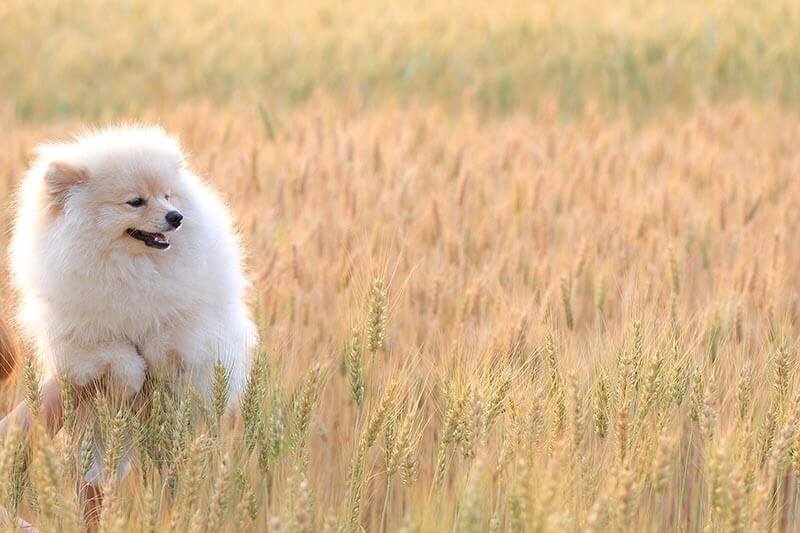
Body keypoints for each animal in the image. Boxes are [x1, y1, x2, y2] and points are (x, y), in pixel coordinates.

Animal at [10, 125, 258, 404]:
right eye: (136, 202)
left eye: (167, 196)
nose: (176, 216)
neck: (132, 268)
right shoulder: (78, 333)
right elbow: (114, 352)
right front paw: (131, 380)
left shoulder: (195, 314)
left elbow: (167, 335)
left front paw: (159, 363)